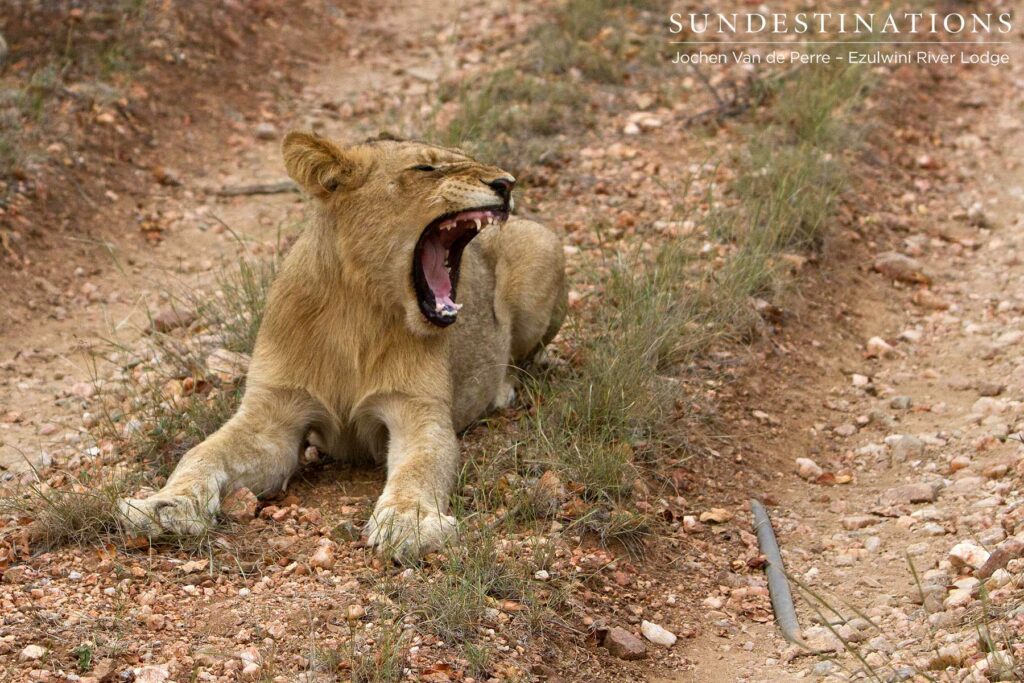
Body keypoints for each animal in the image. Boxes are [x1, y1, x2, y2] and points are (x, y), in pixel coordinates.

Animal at [119, 132, 567, 561]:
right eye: (426, 167)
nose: (507, 183)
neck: (359, 306)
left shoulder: (418, 412)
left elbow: (419, 469)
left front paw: (409, 523)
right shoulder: (272, 418)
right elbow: (202, 453)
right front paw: (163, 506)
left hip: (542, 245)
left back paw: (502, 389)